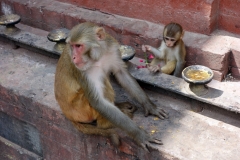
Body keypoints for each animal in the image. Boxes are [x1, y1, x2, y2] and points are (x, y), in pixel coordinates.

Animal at [54, 21, 168, 151]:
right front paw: (140, 135)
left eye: (78, 46)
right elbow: (98, 102)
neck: (98, 56)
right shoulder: (81, 70)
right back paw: (106, 123)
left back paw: (119, 106)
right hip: (81, 110)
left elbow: (121, 72)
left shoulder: (112, 48)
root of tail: (69, 116)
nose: (73, 57)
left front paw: (150, 106)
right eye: (72, 46)